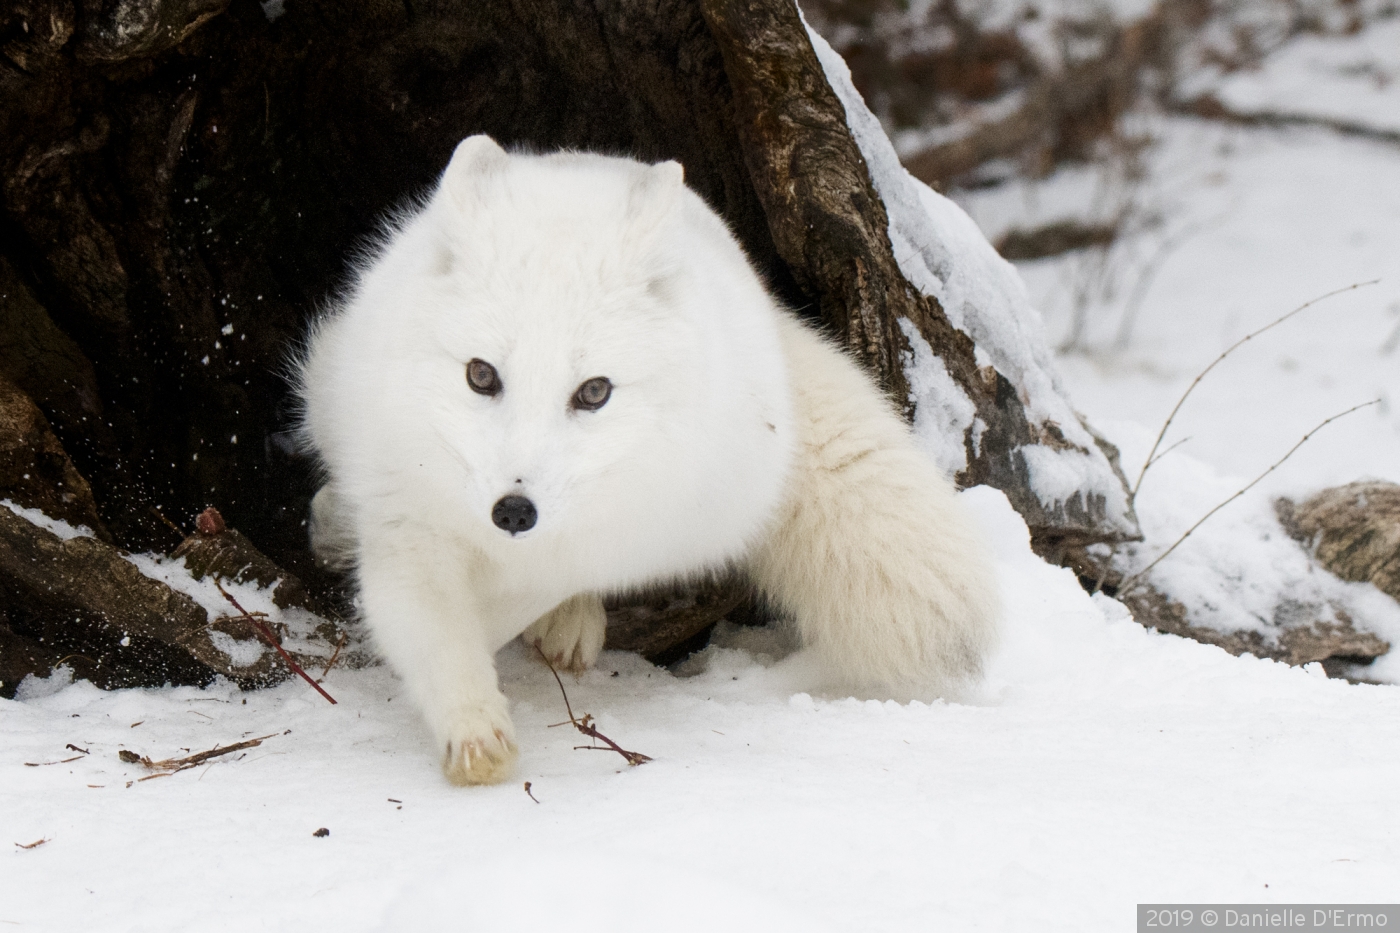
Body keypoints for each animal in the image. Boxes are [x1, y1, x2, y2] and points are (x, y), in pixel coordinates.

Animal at [298, 134, 996, 778]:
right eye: (480, 375)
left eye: (594, 392)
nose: (514, 511)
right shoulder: (406, 524)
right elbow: (437, 632)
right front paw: (473, 729)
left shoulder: (615, 536)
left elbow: (513, 599)